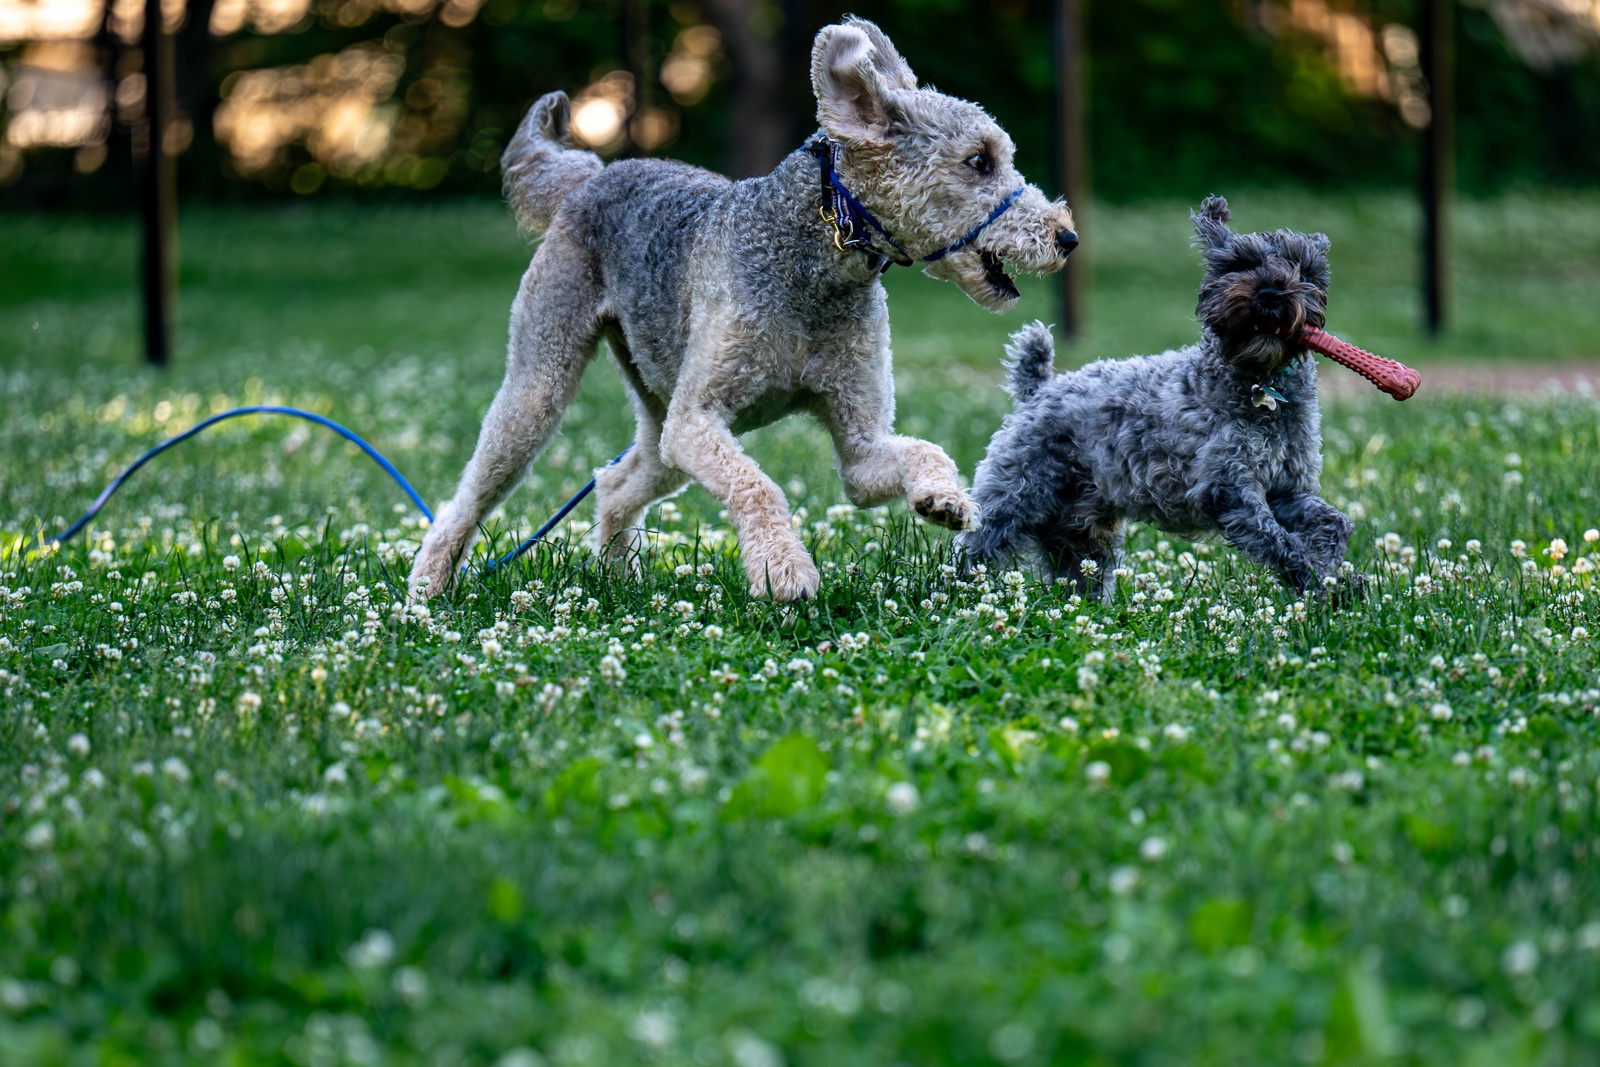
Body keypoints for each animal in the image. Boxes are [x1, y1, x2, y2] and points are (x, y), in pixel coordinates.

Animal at [406, 16, 1075, 604]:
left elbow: (920, 451)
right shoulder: (699, 421)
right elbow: (759, 486)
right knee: (467, 498)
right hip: (545, 390)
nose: (1066, 236)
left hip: (659, 425)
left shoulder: (858, 446)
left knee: (613, 483)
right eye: (979, 161)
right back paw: (427, 589)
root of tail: (588, 175)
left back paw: (617, 578)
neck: (816, 262)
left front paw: (945, 500)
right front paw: (785, 571)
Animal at [960, 195, 1350, 598]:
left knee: (1079, 575)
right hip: (1014, 497)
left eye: (1303, 268)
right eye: (1240, 264)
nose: (1271, 294)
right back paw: (959, 593)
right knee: (975, 550)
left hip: (1080, 532)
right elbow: (1280, 542)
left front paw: (1336, 575)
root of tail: (1038, 390)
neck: (1260, 385)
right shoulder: (1229, 490)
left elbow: (1334, 522)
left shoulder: (1288, 490)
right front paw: (1317, 581)